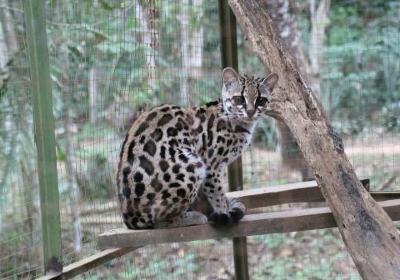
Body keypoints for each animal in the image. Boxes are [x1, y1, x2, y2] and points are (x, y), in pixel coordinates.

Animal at [116, 68, 278, 230]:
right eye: (239, 99)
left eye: (261, 100)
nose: (250, 112)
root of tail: (129, 217)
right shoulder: (211, 165)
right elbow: (217, 194)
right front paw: (223, 212)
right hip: (192, 165)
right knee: (160, 220)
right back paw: (194, 216)